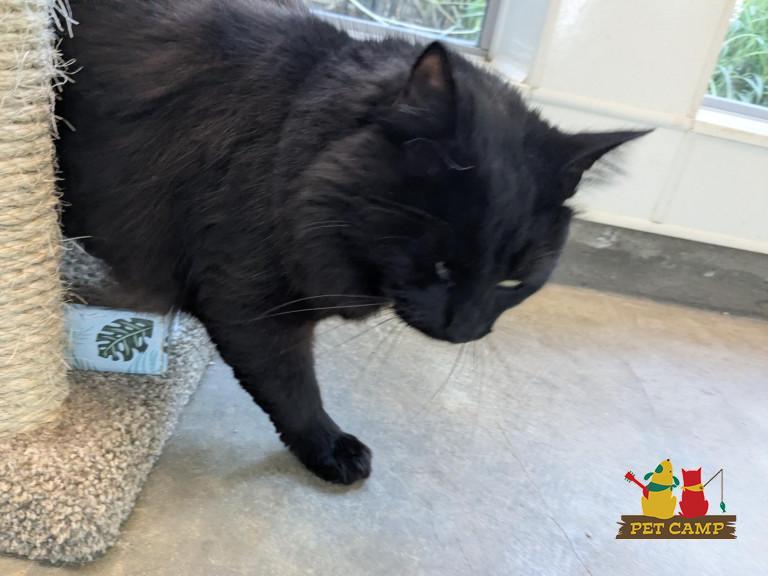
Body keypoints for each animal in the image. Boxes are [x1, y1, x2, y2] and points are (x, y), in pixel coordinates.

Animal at [56, 0, 648, 484]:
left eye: (512, 282)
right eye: (442, 267)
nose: (463, 330)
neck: (290, 139)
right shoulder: (249, 304)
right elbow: (293, 389)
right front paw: (330, 449)